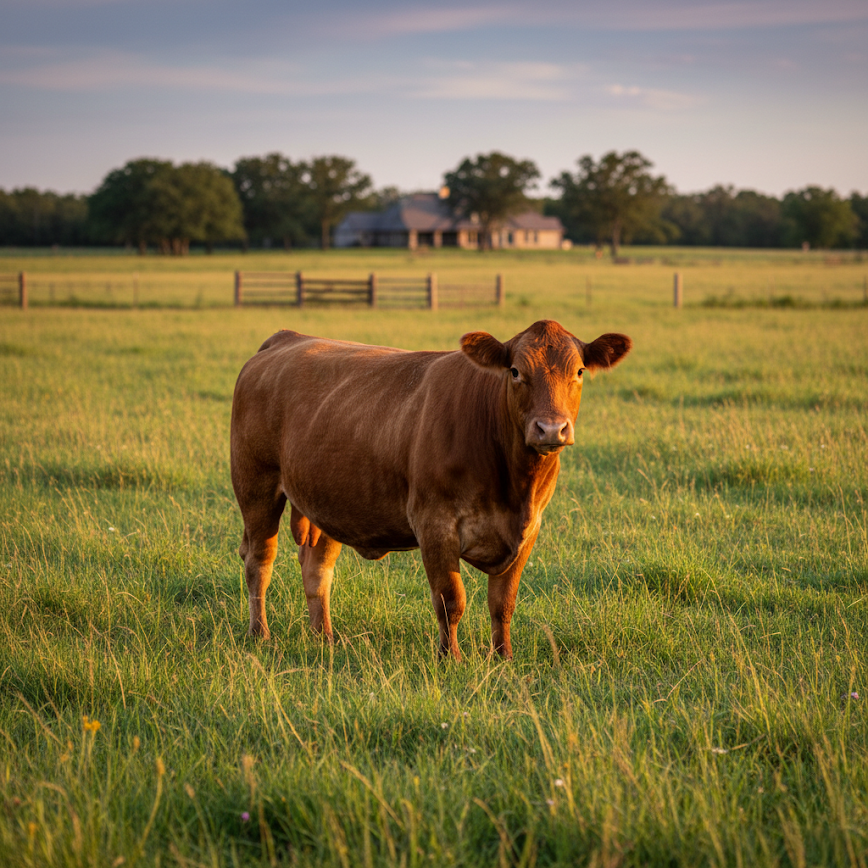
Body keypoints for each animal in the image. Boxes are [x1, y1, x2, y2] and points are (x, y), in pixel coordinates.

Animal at [230, 319, 631, 659]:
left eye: (579, 371)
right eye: (516, 371)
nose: (551, 429)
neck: (513, 487)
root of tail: (287, 337)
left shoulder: (529, 529)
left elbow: (502, 603)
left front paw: (503, 658)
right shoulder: (435, 523)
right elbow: (451, 600)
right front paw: (449, 658)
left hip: (328, 502)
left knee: (317, 568)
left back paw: (324, 638)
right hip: (256, 486)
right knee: (259, 560)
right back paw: (260, 634)